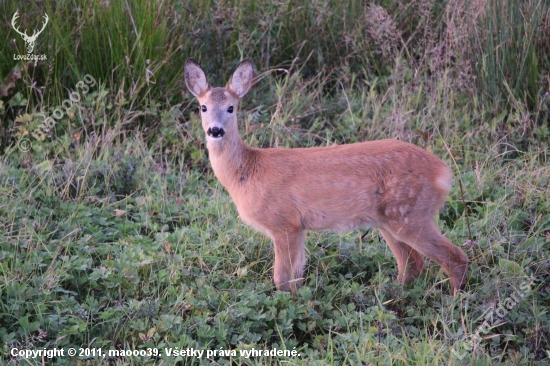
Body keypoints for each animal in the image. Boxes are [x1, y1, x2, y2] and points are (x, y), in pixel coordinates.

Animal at [185, 58, 470, 296]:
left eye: (231, 108)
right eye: (203, 107)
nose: (215, 130)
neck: (247, 172)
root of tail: (442, 172)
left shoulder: (283, 222)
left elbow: (281, 279)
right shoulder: (299, 227)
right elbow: (296, 278)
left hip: (411, 214)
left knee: (455, 257)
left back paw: (454, 302)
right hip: (389, 220)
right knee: (413, 263)